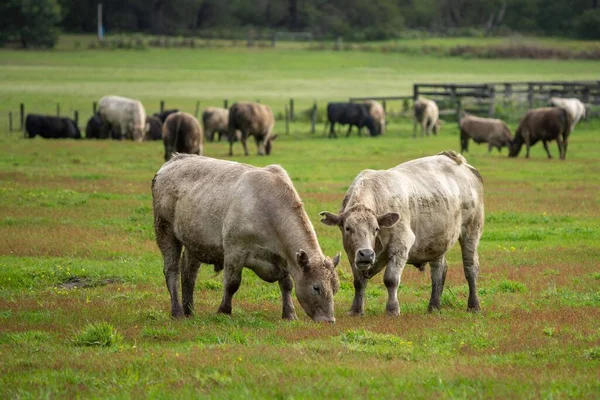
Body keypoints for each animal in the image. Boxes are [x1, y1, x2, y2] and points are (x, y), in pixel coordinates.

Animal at [152, 153, 340, 322]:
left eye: (335, 287)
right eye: (316, 288)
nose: (329, 319)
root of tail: (172, 161)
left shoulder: (284, 258)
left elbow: (287, 284)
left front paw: (289, 314)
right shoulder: (234, 251)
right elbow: (232, 283)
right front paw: (224, 310)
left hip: (193, 241)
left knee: (189, 273)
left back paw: (189, 310)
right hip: (165, 231)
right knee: (172, 271)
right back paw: (177, 312)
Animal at [322, 150, 486, 316]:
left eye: (376, 229)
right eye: (348, 228)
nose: (366, 254)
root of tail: (460, 162)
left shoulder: (401, 244)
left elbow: (391, 279)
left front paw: (392, 309)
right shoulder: (351, 253)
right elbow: (358, 282)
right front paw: (356, 310)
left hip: (471, 231)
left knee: (470, 267)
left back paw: (474, 305)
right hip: (437, 241)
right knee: (438, 271)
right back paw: (433, 306)